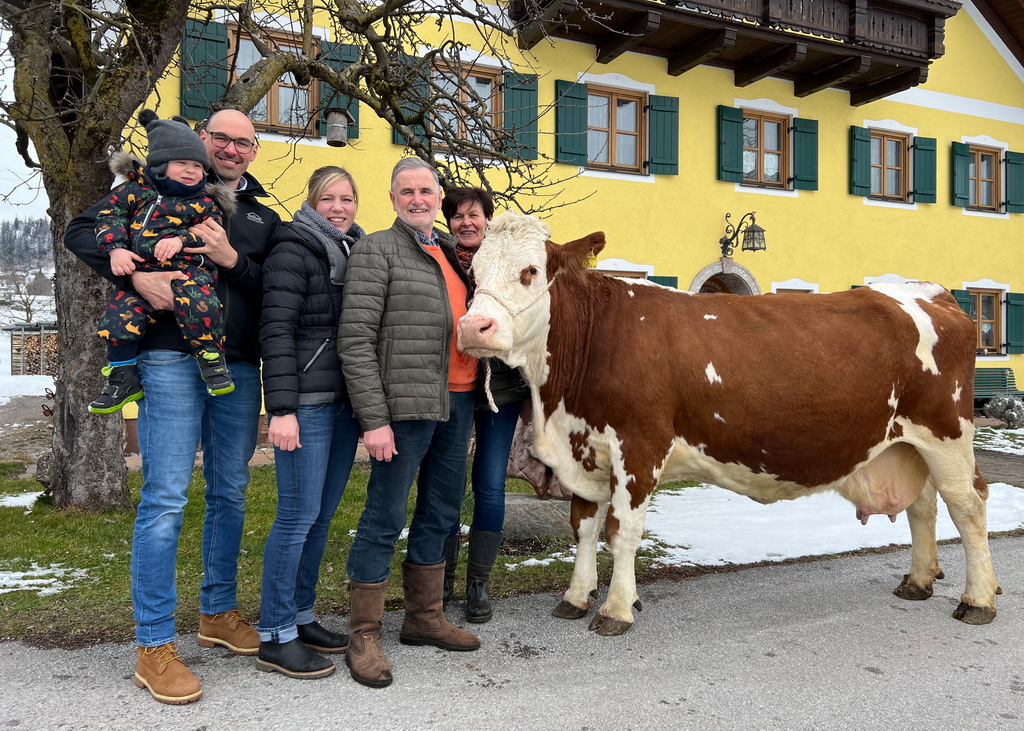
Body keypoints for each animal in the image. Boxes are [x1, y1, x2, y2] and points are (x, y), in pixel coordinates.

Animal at [458, 208, 999, 630]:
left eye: (530, 271)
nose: (472, 327)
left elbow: (622, 530)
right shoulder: (585, 448)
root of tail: (928, 291)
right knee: (923, 506)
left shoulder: (639, 445)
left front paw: (615, 609)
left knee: (967, 505)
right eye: (474, 272)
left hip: (947, 433)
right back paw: (919, 581)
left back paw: (978, 599)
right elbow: (585, 527)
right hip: (906, 442)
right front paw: (575, 597)